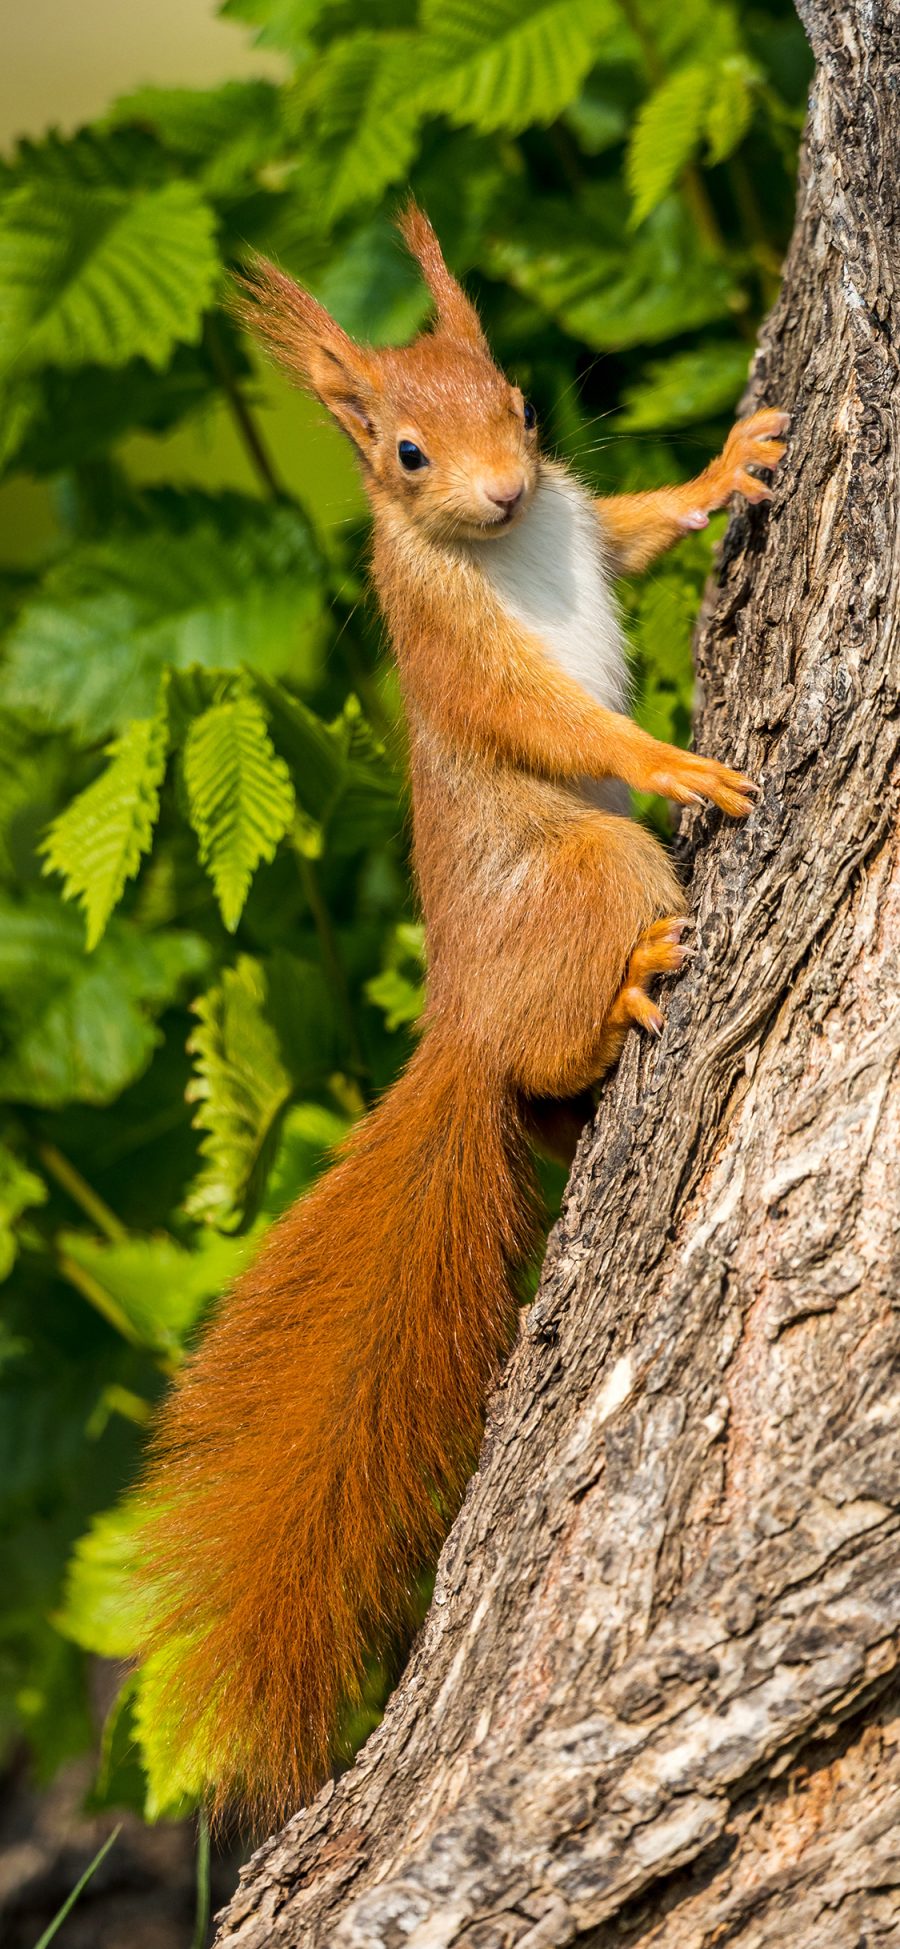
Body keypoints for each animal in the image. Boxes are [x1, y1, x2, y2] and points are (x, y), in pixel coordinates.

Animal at [135, 205, 787, 1816]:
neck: (506, 549)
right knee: (569, 1014)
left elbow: (637, 523)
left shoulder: (586, 523)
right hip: (593, 864)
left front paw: (725, 466)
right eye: (403, 453)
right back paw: (630, 984)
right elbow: (548, 718)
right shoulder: (450, 651)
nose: (502, 491)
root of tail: (465, 1034)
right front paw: (673, 758)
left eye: (524, 406)